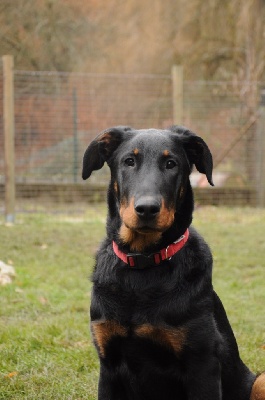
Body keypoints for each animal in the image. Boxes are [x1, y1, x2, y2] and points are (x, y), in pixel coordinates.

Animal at [81, 126, 262, 400]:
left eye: (171, 164)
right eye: (129, 161)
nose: (147, 209)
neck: (143, 263)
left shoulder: (202, 366)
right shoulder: (108, 365)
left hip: (258, 380)